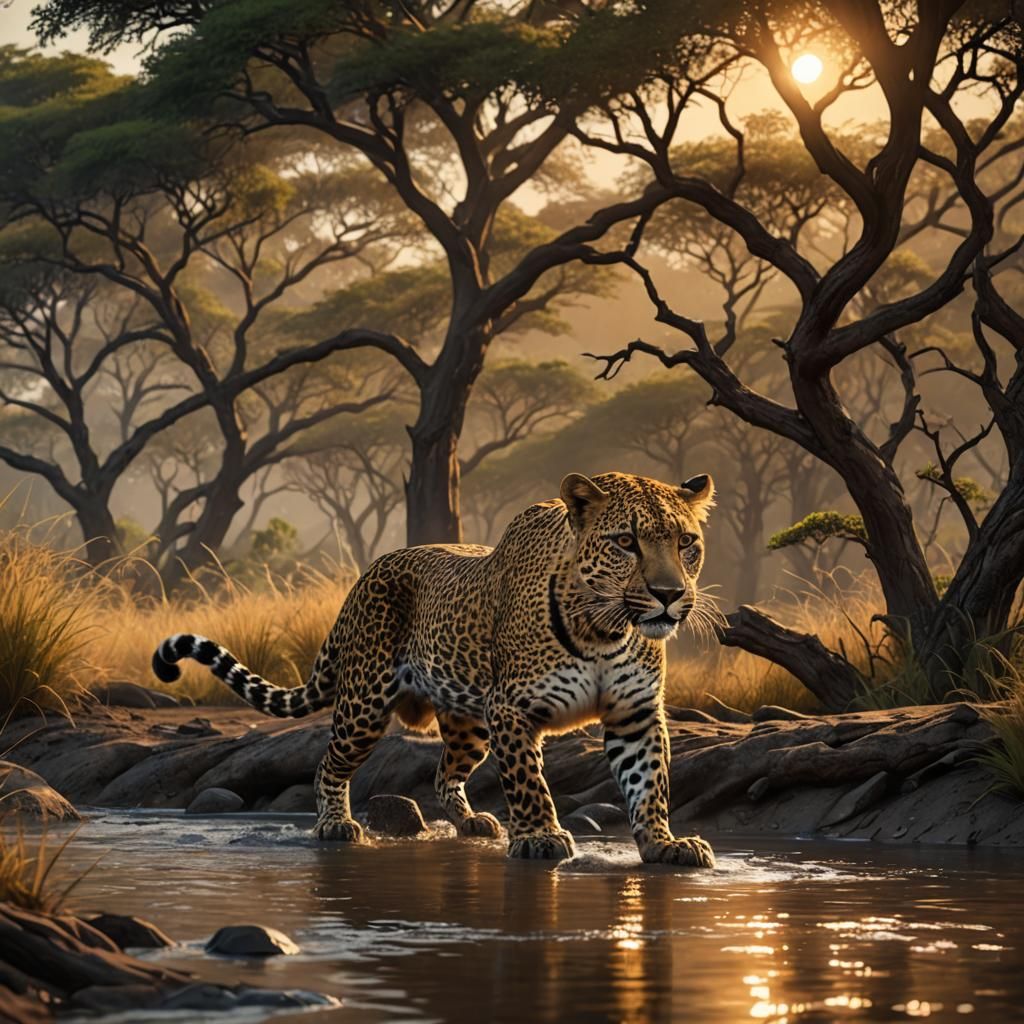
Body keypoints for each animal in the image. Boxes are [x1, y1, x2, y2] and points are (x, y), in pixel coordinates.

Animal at [152, 471, 718, 867]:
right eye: (626, 542)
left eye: (686, 543)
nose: (669, 595)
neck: (605, 629)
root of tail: (366, 573)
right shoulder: (511, 708)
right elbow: (529, 781)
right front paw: (540, 836)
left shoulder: (636, 715)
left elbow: (650, 784)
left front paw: (664, 843)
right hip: (365, 704)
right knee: (328, 763)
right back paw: (335, 824)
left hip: (468, 725)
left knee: (445, 773)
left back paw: (471, 823)